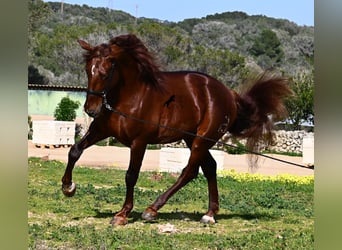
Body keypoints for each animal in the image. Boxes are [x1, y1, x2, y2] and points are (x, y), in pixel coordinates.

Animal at [61, 34, 292, 226]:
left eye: (107, 72)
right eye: (88, 69)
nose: (91, 109)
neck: (130, 97)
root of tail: (228, 93)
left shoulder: (139, 142)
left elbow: (131, 175)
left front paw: (122, 214)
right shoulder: (100, 130)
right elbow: (74, 151)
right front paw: (68, 187)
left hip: (202, 140)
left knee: (190, 171)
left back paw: (152, 209)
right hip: (192, 140)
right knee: (210, 167)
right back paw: (209, 214)